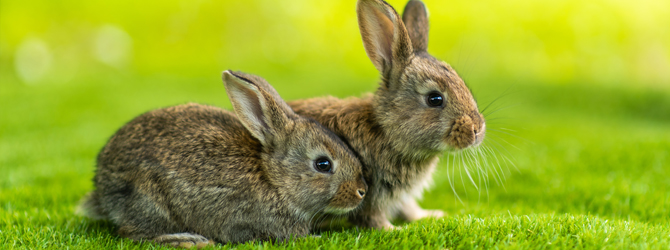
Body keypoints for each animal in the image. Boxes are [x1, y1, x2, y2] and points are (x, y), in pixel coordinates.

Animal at [80, 70, 370, 246]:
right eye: (323, 164)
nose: (361, 191)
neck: (273, 179)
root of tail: (101, 185)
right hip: (149, 199)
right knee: (132, 234)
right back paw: (188, 240)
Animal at [286, 0, 486, 229]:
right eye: (434, 99)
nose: (477, 130)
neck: (386, 131)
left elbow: (408, 207)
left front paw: (429, 215)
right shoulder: (369, 192)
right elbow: (372, 217)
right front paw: (392, 230)